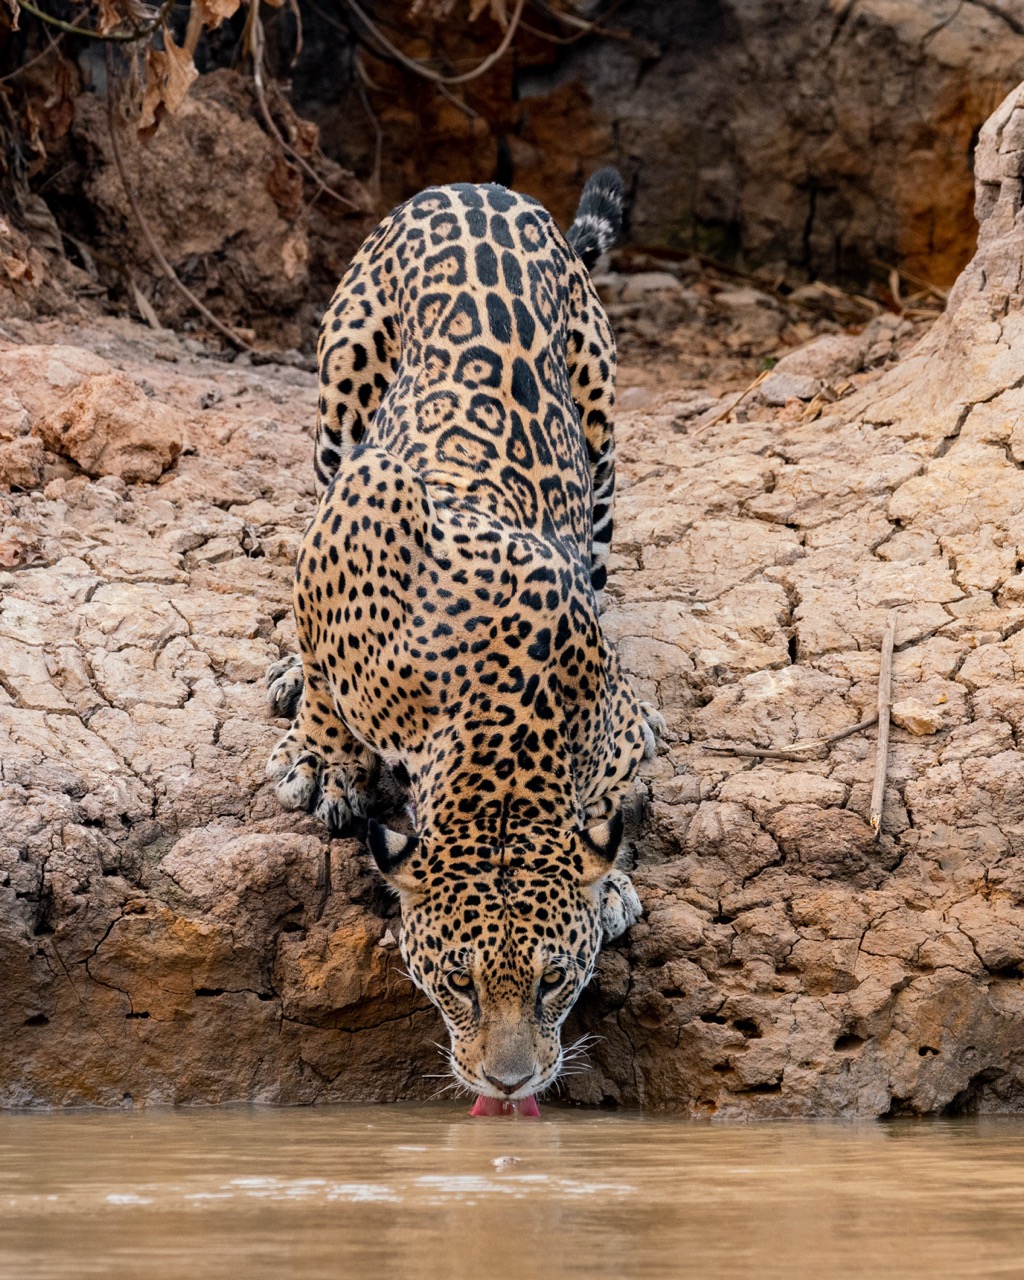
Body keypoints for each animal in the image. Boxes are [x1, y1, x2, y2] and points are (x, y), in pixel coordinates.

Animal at [265, 169, 664, 1106]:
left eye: (556, 979)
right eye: (457, 981)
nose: (511, 1084)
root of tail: (481, 187)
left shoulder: (618, 722)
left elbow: (612, 802)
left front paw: (613, 880)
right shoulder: (356, 514)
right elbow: (326, 674)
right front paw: (324, 760)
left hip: (599, 426)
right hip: (344, 394)